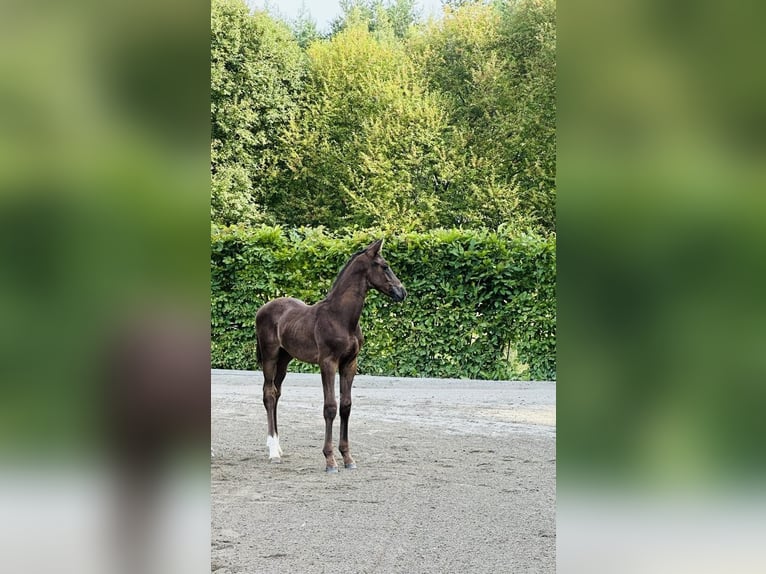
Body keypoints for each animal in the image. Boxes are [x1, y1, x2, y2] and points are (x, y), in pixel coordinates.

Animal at [255, 241, 408, 474]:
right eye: (384, 266)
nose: (402, 292)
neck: (341, 318)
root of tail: (262, 309)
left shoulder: (349, 364)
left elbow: (345, 406)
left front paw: (348, 458)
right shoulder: (328, 363)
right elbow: (330, 407)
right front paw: (330, 461)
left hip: (284, 359)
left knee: (276, 393)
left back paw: (279, 447)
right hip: (270, 357)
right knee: (269, 394)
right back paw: (273, 452)